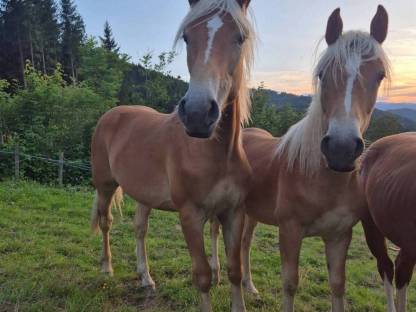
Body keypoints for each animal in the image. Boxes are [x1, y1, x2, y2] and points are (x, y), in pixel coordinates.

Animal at [90, 1, 255, 310]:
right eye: (187, 37)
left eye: (240, 38)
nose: (198, 114)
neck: (216, 155)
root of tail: (111, 114)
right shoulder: (189, 215)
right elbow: (202, 276)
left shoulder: (234, 213)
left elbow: (235, 272)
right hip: (105, 185)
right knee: (106, 222)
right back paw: (107, 267)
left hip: (143, 195)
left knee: (139, 229)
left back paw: (146, 278)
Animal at [210, 5, 392, 312]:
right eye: (322, 73)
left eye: (379, 75)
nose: (341, 148)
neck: (319, 178)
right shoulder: (290, 232)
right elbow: (290, 284)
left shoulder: (339, 236)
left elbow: (338, 286)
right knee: (213, 232)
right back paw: (215, 274)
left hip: (250, 213)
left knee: (245, 243)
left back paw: (249, 285)